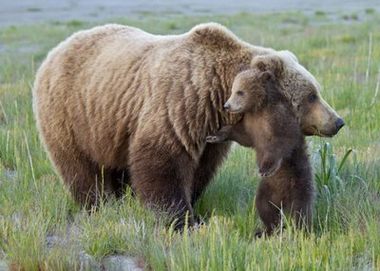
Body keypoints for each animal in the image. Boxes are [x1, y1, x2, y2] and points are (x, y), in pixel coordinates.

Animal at [206, 69, 314, 236]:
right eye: (232, 90)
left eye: (240, 92)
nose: (227, 106)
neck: (259, 108)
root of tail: (282, 198)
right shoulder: (251, 125)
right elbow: (240, 134)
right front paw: (214, 136)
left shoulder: (278, 119)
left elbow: (282, 143)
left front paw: (266, 168)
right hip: (268, 189)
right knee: (265, 207)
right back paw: (266, 230)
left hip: (298, 182)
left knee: (300, 210)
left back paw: (301, 231)